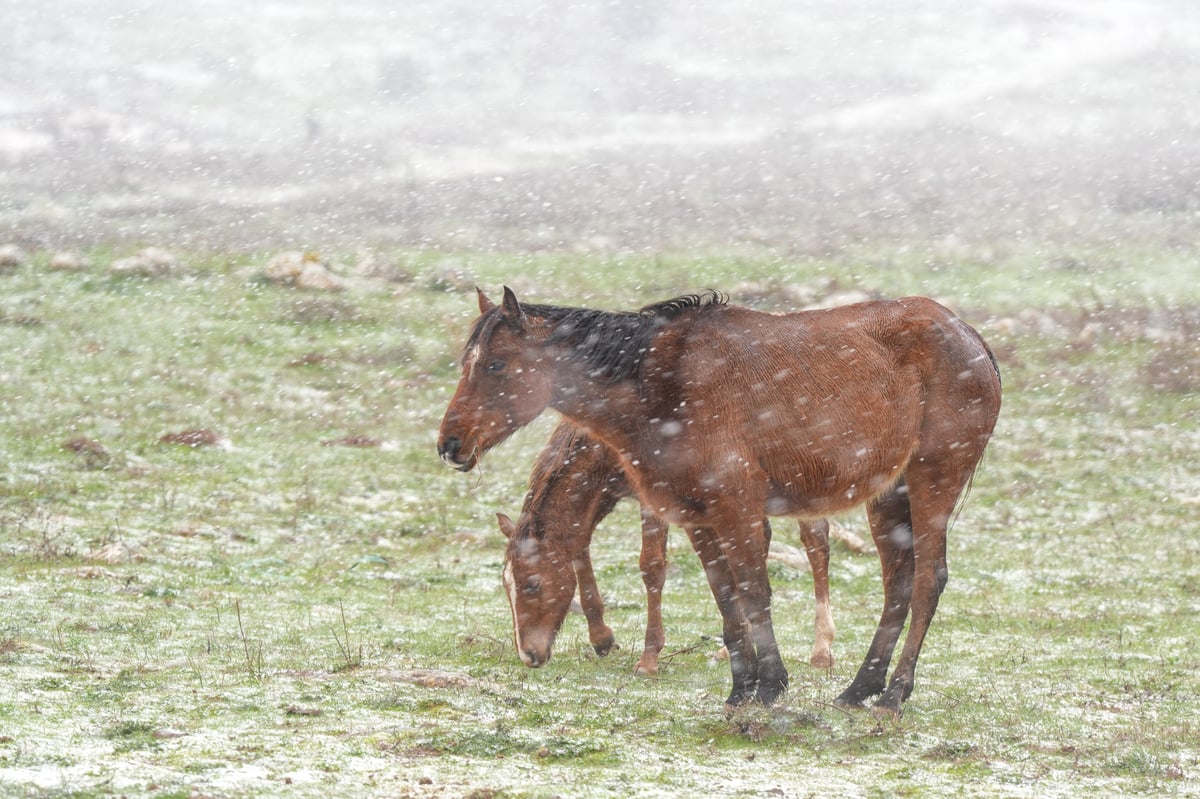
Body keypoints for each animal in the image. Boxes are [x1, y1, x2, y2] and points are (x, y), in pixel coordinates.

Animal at [496, 419, 835, 676]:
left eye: (532, 584)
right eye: (505, 585)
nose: (528, 655)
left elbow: (652, 566)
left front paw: (649, 658)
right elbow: (578, 547)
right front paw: (601, 636)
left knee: (816, 541)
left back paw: (822, 649)